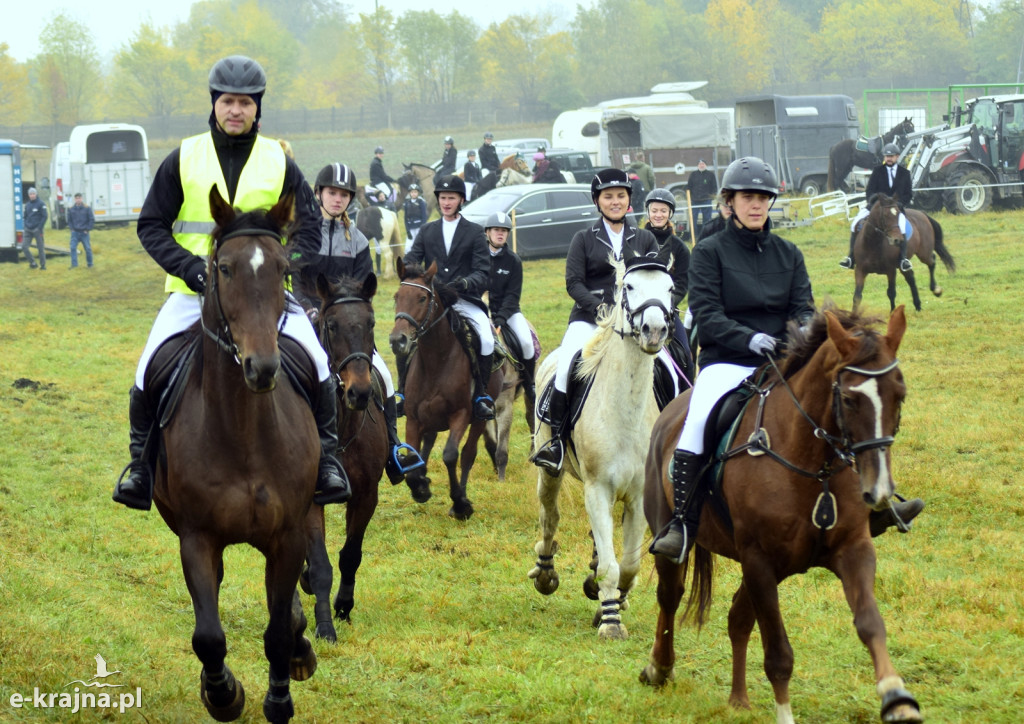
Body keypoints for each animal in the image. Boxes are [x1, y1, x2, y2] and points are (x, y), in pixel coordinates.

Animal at [151, 188, 317, 724]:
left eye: (283, 268)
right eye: (223, 268)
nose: (262, 368)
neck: (243, 434)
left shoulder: (287, 535)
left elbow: (279, 630)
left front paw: (279, 698)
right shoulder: (197, 538)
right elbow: (208, 634)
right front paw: (223, 693)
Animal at [385, 260, 501, 520]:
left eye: (422, 298)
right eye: (397, 296)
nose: (398, 341)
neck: (436, 360)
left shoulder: (461, 414)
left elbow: (450, 455)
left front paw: (460, 504)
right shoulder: (413, 419)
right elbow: (413, 457)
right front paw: (420, 486)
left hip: (479, 418)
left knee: (468, 454)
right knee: (428, 442)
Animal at [638, 305, 921, 724]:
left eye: (899, 394)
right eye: (849, 399)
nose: (879, 491)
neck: (814, 465)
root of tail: (672, 410)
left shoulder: (852, 549)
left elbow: (871, 624)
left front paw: (897, 698)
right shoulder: (759, 559)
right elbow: (778, 655)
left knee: (738, 618)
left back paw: (738, 698)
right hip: (680, 538)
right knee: (670, 597)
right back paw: (659, 667)